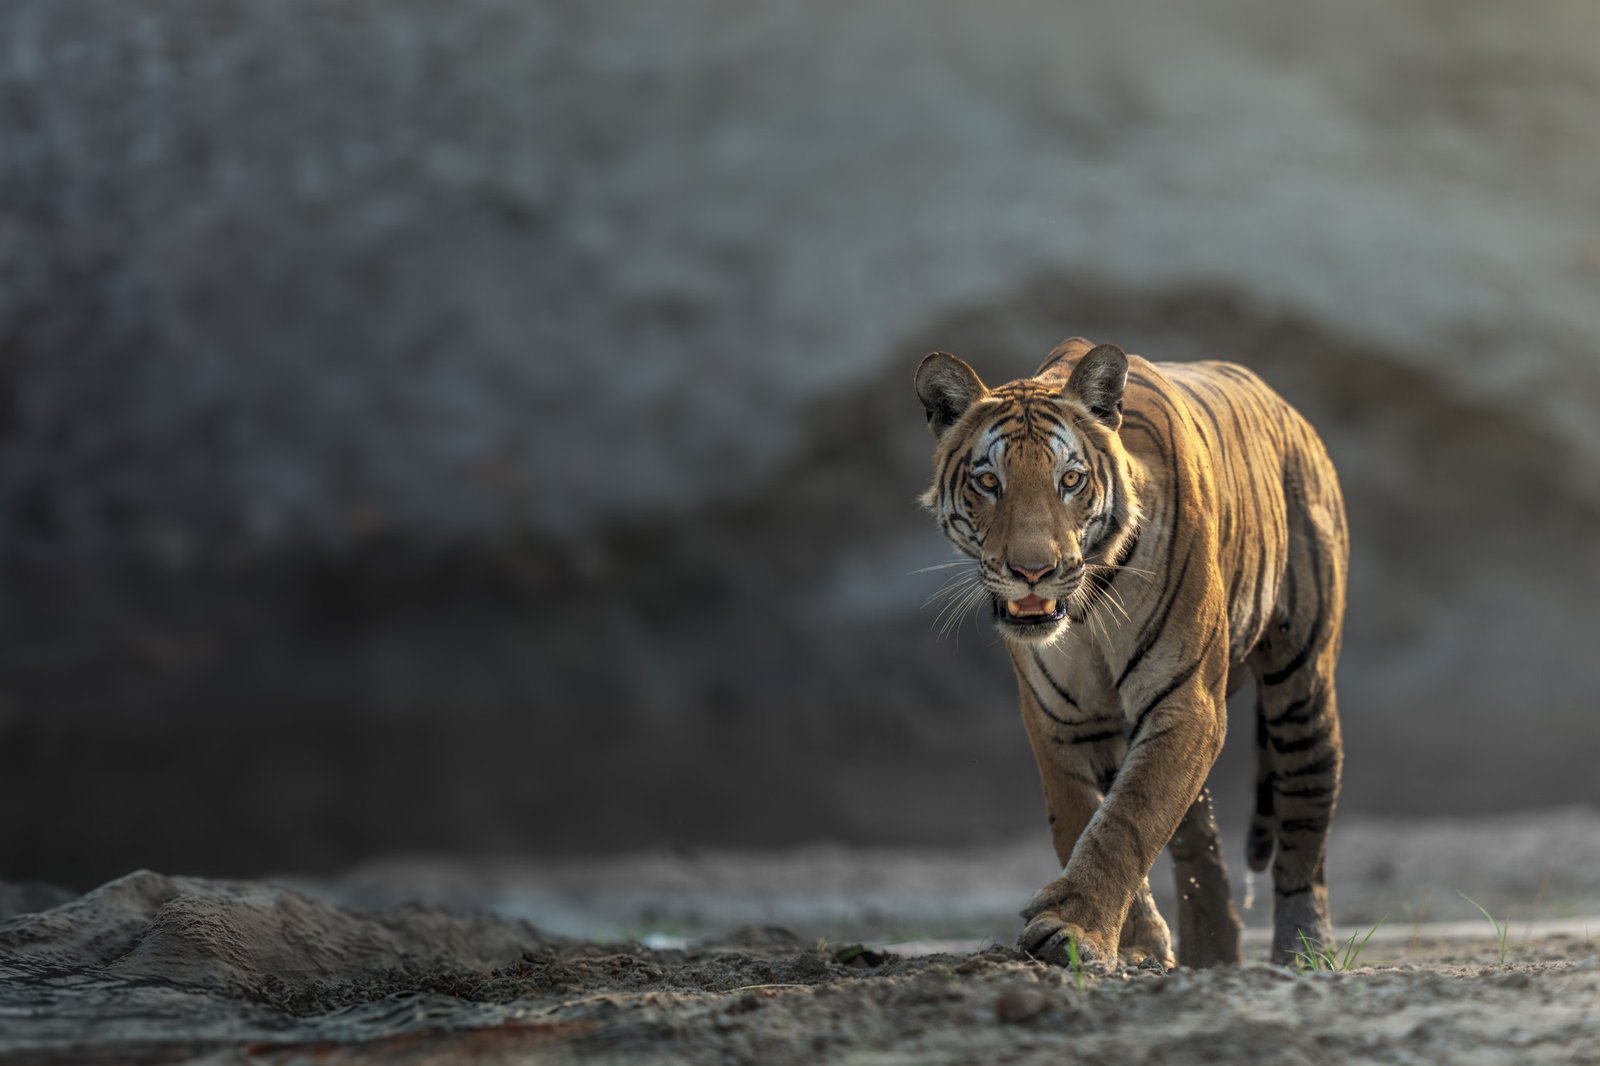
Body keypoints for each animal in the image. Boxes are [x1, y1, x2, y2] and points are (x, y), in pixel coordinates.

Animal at [914, 337, 1346, 968]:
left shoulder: (1187, 699)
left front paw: (1074, 932)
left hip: (1302, 681)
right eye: (988, 482)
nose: (1032, 572)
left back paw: (1303, 951)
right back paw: (1210, 952)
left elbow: (1129, 819)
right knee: (1197, 836)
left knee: (1306, 815)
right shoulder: (1062, 718)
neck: (1085, 608)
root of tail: (1292, 414)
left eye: (1070, 480)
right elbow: (1086, 818)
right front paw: (1134, 946)